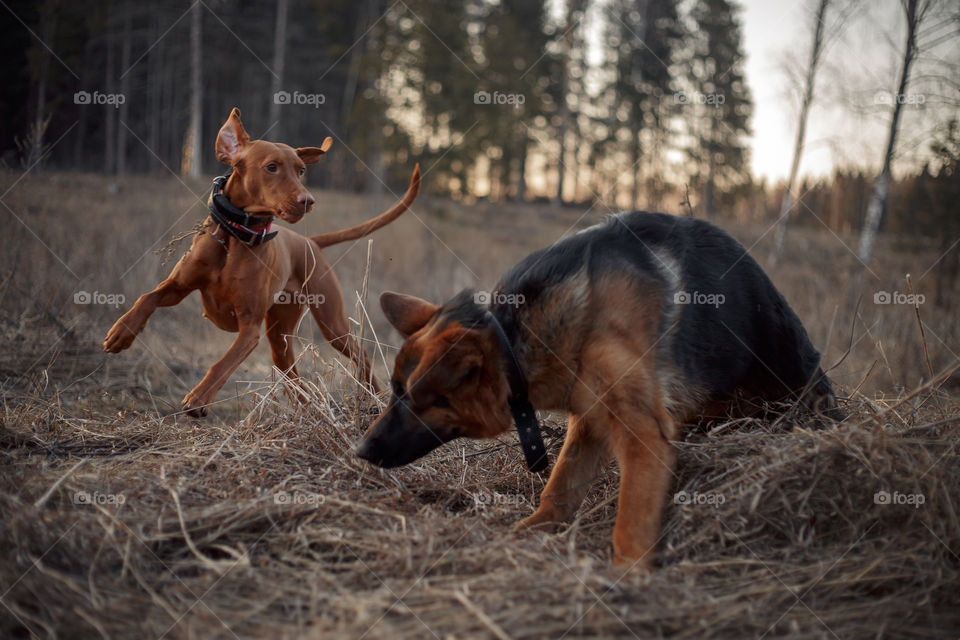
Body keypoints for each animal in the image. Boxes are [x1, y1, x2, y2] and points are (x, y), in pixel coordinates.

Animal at [104, 107, 420, 418]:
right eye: (271, 167)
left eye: (301, 170)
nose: (308, 201)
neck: (235, 235)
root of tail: (310, 241)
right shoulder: (178, 286)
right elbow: (147, 297)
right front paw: (121, 332)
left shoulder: (250, 328)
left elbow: (223, 363)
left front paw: (199, 397)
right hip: (280, 338)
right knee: (294, 377)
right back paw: (308, 412)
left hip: (332, 324)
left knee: (361, 355)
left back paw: (374, 400)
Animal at [356, 212, 836, 568]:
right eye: (394, 390)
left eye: (410, 397)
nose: (361, 450)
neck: (516, 337)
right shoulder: (589, 421)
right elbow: (559, 489)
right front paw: (527, 533)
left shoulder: (644, 435)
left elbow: (631, 523)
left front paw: (628, 579)